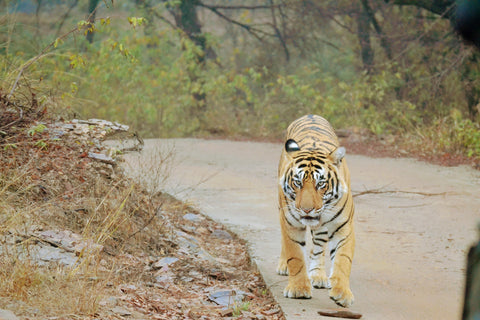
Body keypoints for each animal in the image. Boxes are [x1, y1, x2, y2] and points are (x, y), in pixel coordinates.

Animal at [276, 114, 354, 308]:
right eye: (298, 182)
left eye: (321, 184)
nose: (306, 209)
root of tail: (310, 115)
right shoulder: (290, 223)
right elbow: (295, 256)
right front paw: (298, 289)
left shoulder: (344, 227)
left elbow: (343, 260)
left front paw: (342, 293)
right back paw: (283, 266)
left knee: (318, 247)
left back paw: (318, 275)